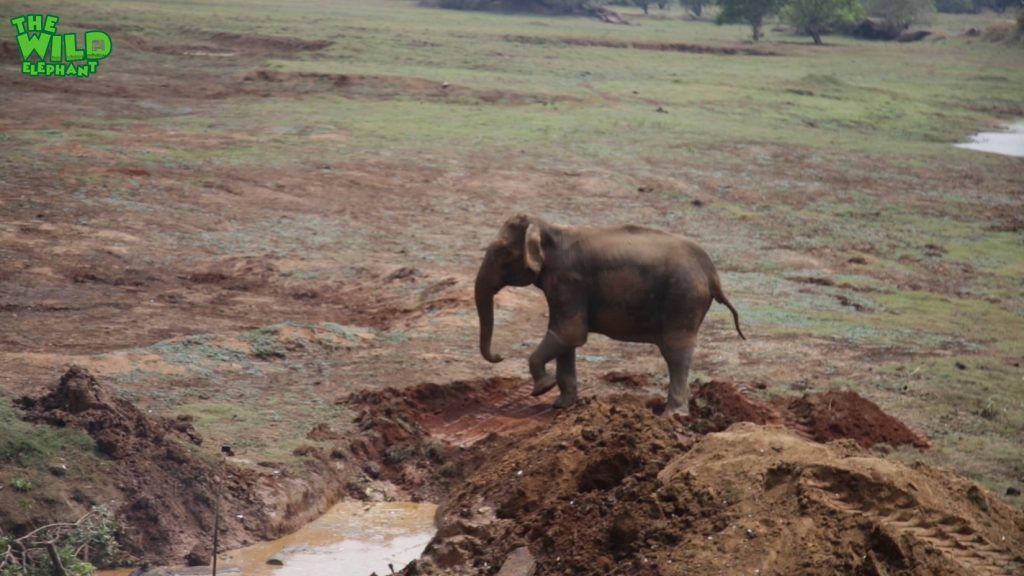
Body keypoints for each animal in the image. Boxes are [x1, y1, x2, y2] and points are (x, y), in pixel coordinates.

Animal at [471, 213, 745, 414]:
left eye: (502, 252)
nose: (500, 356)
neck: (549, 228)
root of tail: (712, 274)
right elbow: (567, 340)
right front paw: (562, 405)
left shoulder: (568, 280)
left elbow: (570, 334)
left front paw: (542, 389)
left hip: (683, 299)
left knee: (676, 354)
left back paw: (671, 415)